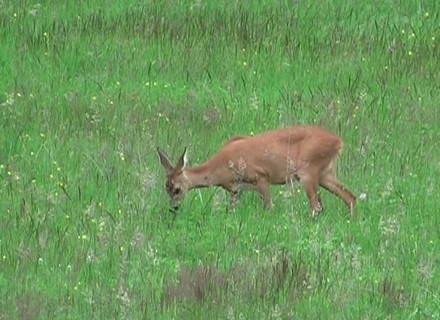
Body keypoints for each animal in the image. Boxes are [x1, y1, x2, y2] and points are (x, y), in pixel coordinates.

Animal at [156, 125, 356, 218]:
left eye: (177, 189)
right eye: (166, 188)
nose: (173, 208)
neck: (221, 167)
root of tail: (339, 142)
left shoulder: (261, 176)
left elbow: (268, 206)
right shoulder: (236, 190)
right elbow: (229, 210)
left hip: (309, 171)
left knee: (317, 206)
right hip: (325, 174)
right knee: (350, 196)